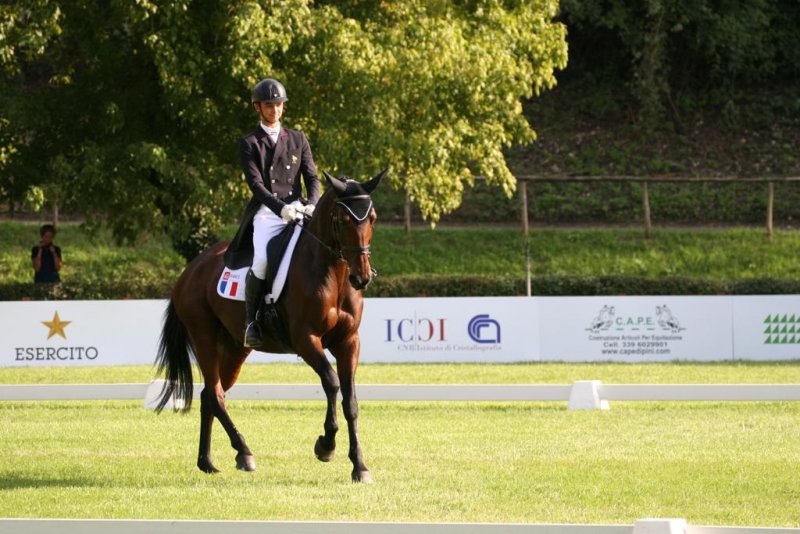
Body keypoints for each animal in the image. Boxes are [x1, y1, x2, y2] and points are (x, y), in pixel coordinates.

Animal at [154, 170, 388, 484]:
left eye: (372, 217)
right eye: (343, 219)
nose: (361, 277)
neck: (333, 274)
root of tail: (189, 271)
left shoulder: (349, 341)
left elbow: (350, 401)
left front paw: (359, 466)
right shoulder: (306, 339)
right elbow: (331, 382)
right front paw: (325, 446)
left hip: (235, 348)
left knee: (209, 395)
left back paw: (207, 462)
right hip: (204, 338)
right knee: (215, 394)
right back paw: (244, 452)